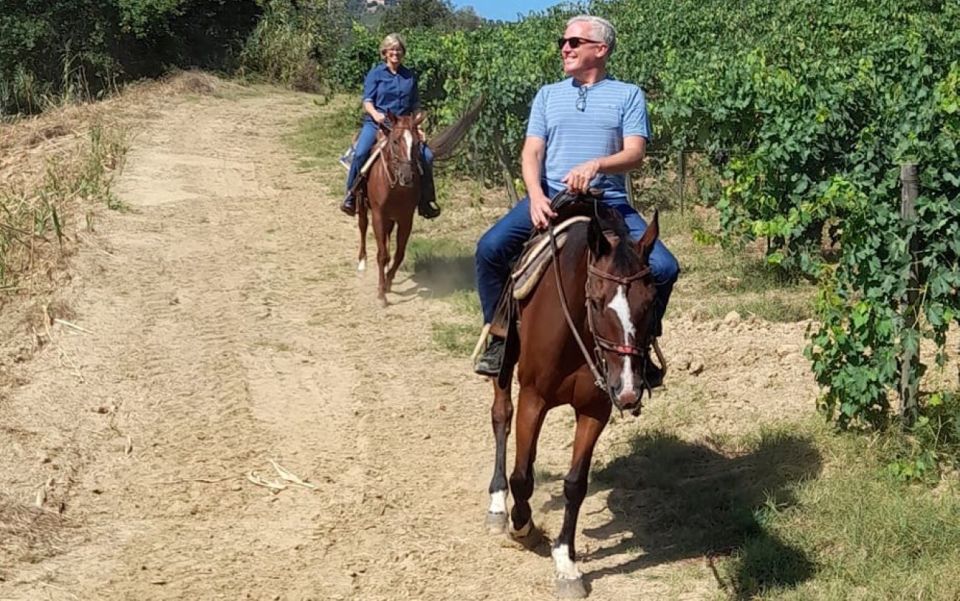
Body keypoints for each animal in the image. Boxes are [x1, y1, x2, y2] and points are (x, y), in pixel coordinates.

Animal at [356, 111, 424, 304]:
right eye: (395, 141)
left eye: (417, 143)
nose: (407, 176)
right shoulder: (378, 215)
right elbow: (382, 254)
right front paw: (381, 292)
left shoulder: (406, 219)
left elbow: (399, 254)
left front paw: (388, 282)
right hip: (361, 204)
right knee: (362, 226)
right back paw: (362, 262)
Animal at [488, 200, 660, 596]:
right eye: (596, 302)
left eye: (651, 302)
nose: (628, 390)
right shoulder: (533, 399)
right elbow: (522, 477)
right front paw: (523, 527)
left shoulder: (594, 410)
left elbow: (575, 484)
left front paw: (566, 561)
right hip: (504, 368)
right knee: (502, 416)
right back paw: (497, 504)